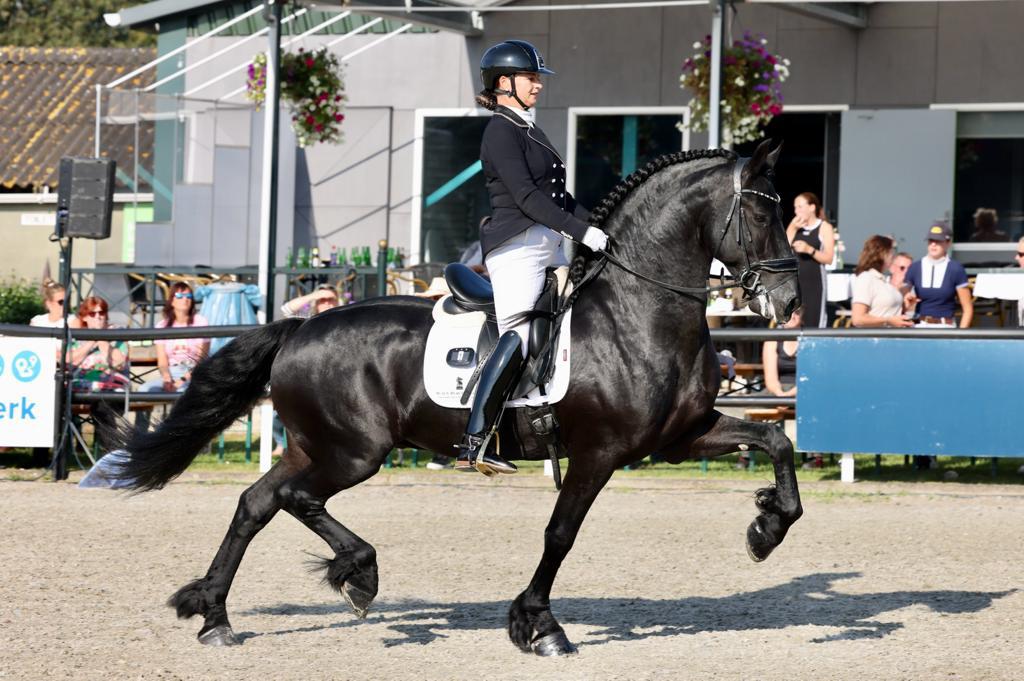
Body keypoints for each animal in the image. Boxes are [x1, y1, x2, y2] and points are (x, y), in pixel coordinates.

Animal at [110, 139, 802, 656]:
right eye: (761, 215)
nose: (791, 303)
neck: (638, 312)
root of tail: (301, 326)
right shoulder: (599, 453)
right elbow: (560, 534)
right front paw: (539, 626)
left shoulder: (680, 436)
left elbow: (776, 439)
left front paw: (766, 528)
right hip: (353, 451)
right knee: (295, 499)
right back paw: (358, 573)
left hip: (317, 445)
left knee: (257, 503)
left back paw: (215, 615)